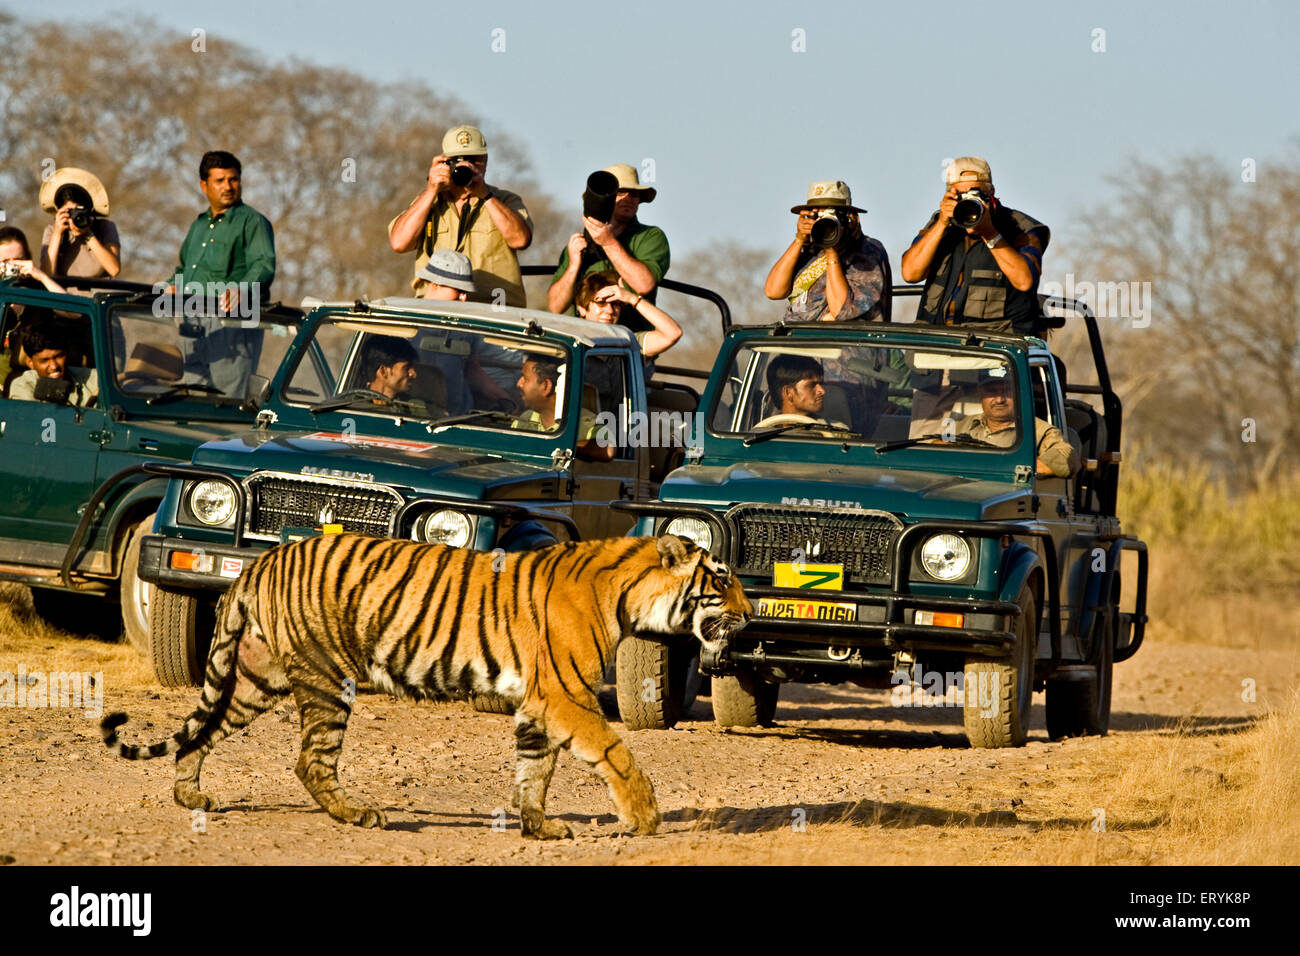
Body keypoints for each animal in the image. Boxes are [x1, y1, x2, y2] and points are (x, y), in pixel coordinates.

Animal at [101, 535, 754, 842]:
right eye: (721, 582)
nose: (751, 616)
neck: (628, 597)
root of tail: (262, 561)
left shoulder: (539, 704)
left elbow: (534, 769)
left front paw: (538, 826)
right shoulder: (566, 695)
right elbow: (616, 752)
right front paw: (644, 817)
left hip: (260, 677)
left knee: (201, 733)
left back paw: (190, 796)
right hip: (326, 678)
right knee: (310, 761)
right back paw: (358, 814)